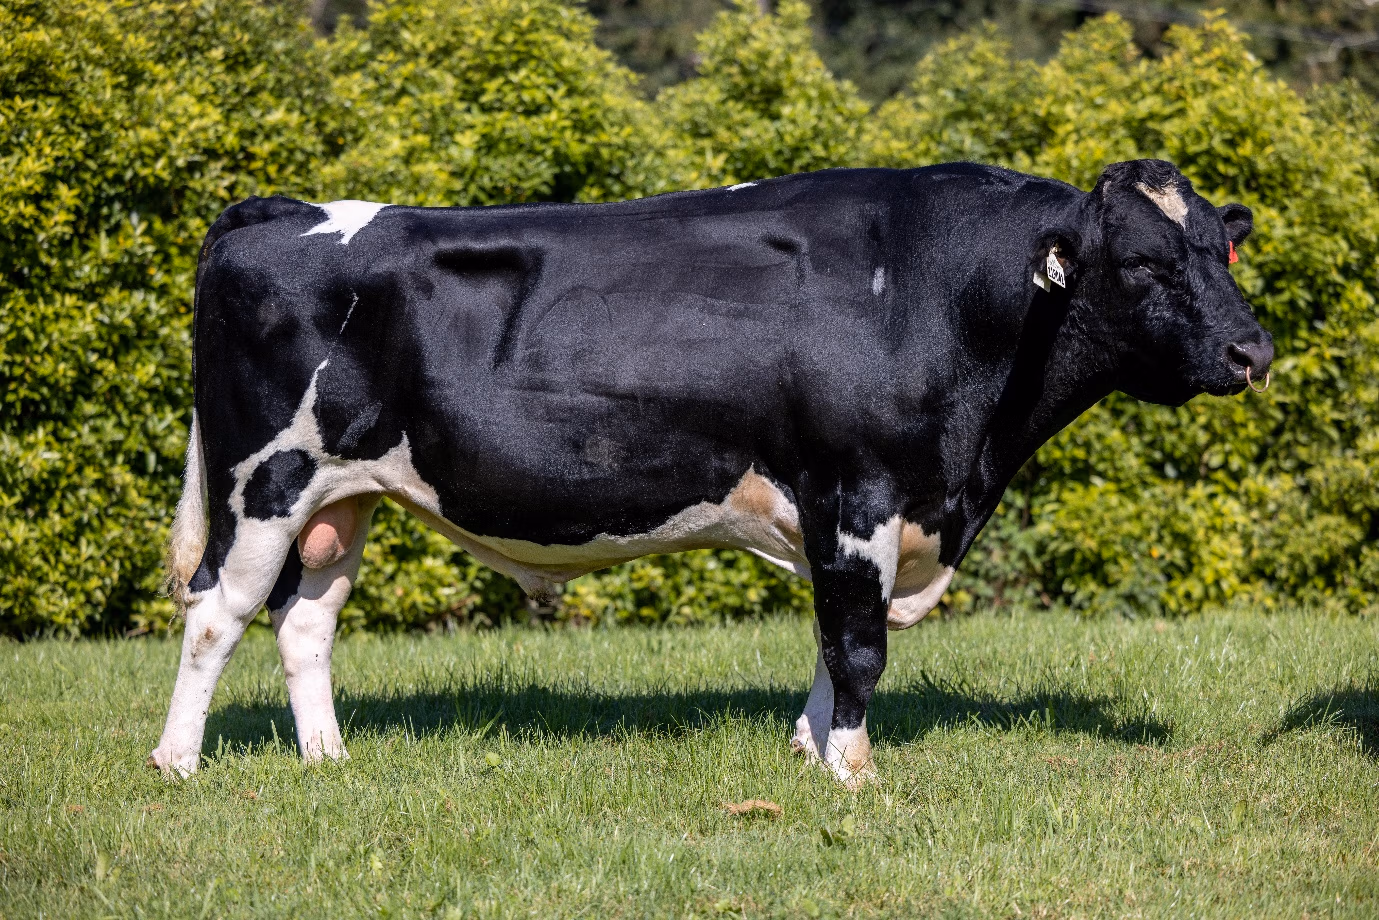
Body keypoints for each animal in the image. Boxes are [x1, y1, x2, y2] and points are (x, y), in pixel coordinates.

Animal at [151, 158, 1272, 785]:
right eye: (1138, 263)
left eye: (1219, 248)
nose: (1251, 350)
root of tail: (283, 209)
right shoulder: (859, 490)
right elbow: (859, 647)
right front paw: (854, 774)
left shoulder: (847, 509)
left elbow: (828, 634)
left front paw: (809, 752)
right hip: (265, 478)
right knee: (215, 612)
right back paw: (178, 762)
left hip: (347, 498)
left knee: (304, 621)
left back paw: (328, 760)